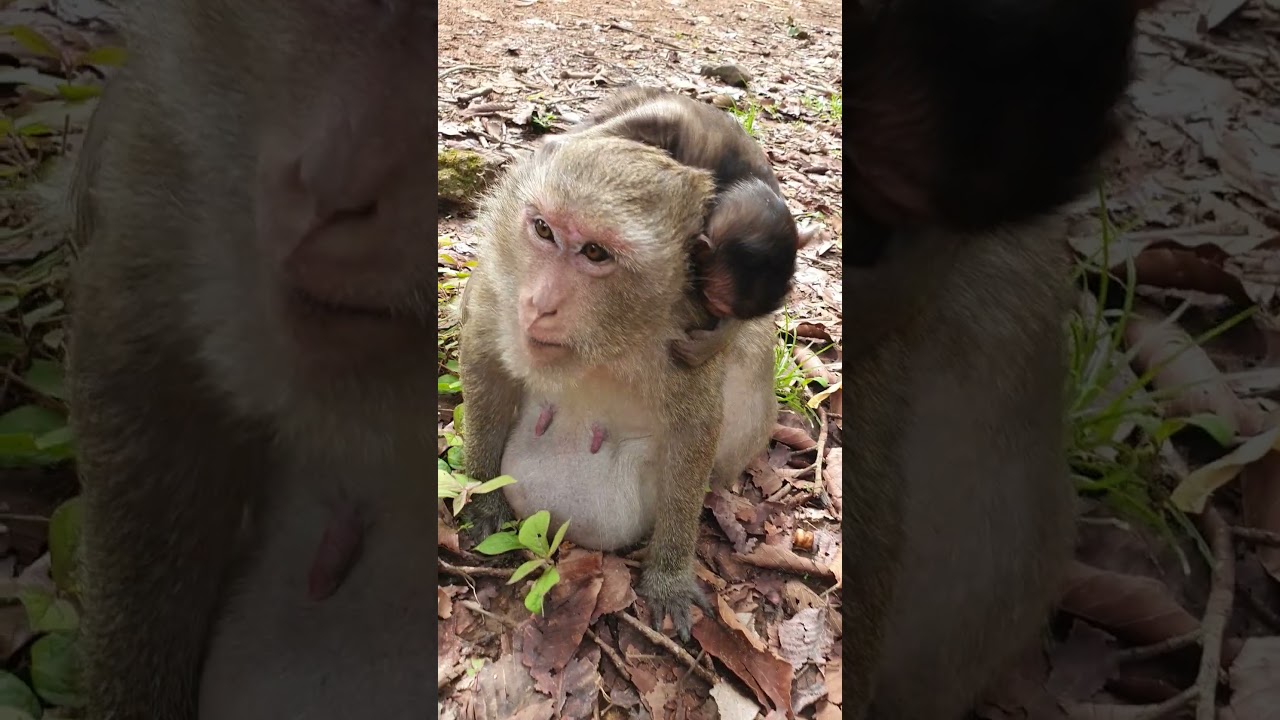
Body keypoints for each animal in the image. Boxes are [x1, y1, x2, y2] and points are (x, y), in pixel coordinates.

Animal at [456, 134, 779, 641]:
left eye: (595, 253)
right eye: (543, 229)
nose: (539, 303)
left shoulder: (690, 330)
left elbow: (695, 427)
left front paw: (668, 574)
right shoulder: (498, 282)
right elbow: (486, 359)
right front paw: (485, 500)